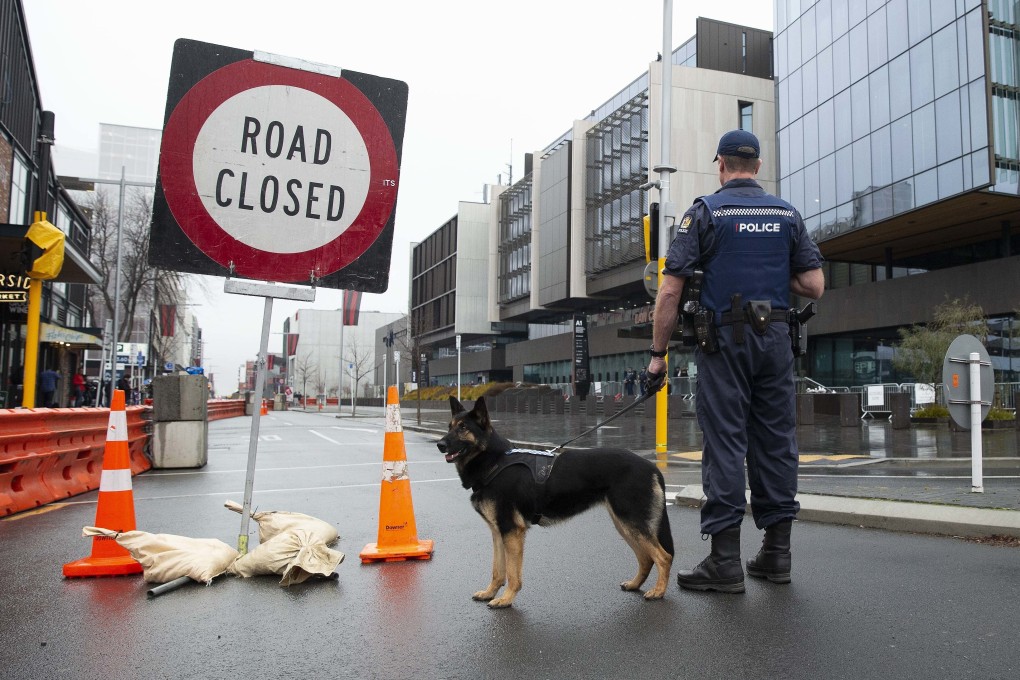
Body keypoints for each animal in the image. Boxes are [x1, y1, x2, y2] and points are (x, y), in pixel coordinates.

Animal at [434, 395, 673, 607]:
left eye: (463, 428)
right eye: (449, 426)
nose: (440, 444)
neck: (495, 461)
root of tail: (651, 466)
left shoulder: (512, 531)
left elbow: (512, 573)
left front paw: (506, 599)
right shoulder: (498, 532)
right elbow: (497, 570)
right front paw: (490, 593)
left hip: (631, 523)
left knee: (663, 557)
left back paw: (658, 592)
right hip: (624, 525)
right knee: (646, 558)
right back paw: (635, 584)